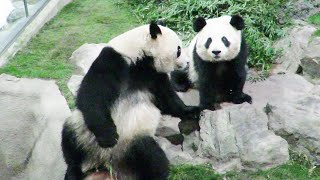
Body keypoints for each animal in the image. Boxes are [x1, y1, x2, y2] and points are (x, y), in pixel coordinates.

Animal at [61, 21, 200, 179]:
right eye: (178, 50)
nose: (187, 63)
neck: (142, 57)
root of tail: (107, 162)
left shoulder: (154, 75)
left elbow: (166, 99)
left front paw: (191, 111)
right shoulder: (113, 61)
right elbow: (92, 94)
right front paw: (109, 137)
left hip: (134, 140)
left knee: (152, 158)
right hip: (83, 130)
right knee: (70, 142)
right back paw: (73, 171)